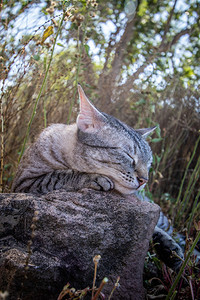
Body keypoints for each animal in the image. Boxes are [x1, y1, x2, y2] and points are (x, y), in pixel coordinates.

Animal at [11, 85, 156, 196]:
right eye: (128, 155)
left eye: (149, 164)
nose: (144, 180)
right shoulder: (23, 182)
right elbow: (58, 175)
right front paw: (93, 178)